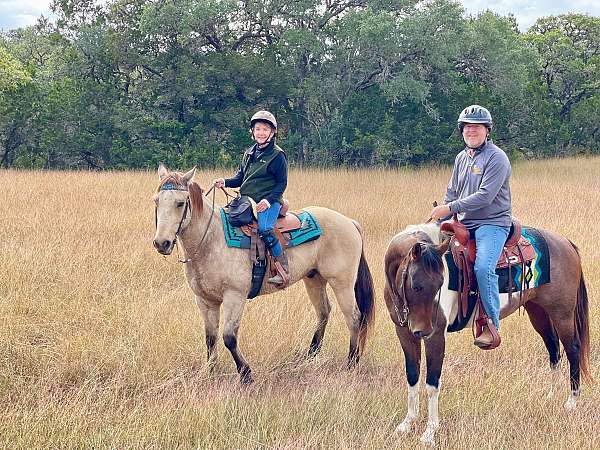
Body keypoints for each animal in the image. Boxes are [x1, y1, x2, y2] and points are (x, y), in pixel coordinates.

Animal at [151, 165, 376, 384]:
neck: (211, 239)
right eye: (156, 201)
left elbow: (229, 337)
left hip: (342, 283)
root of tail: (349, 222)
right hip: (314, 279)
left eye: (180, 203)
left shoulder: (235, 296)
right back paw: (310, 356)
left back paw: (352, 362)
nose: (162, 243)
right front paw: (209, 371)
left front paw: (246, 374)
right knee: (323, 312)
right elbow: (210, 338)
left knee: (354, 318)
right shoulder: (205, 300)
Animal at [384, 221, 592, 442]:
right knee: (553, 349)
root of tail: (565, 243)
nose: (424, 330)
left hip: (562, 314)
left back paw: (571, 402)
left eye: (441, 283)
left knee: (572, 350)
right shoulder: (404, 333)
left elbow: (432, 383)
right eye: (415, 285)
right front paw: (407, 423)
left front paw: (430, 432)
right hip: (538, 311)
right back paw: (551, 396)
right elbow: (412, 376)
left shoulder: (436, 336)